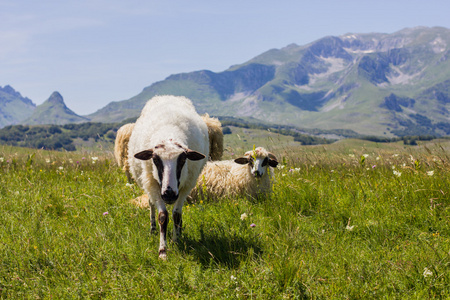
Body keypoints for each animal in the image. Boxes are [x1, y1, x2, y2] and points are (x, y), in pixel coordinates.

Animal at [128, 95, 209, 258]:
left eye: (183, 159)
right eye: (155, 159)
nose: (169, 194)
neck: (169, 134)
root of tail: (168, 96)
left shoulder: (186, 185)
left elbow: (176, 214)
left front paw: (176, 241)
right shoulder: (153, 185)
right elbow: (163, 216)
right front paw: (162, 251)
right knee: (151, 204)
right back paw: (153, 229)